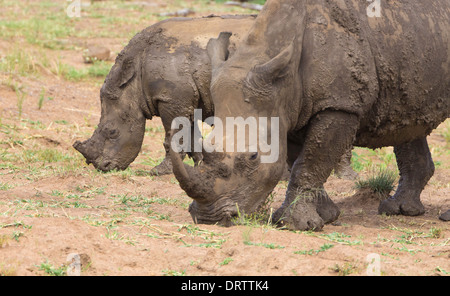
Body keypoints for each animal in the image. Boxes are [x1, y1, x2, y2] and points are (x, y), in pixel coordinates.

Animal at [170, 0, 450, 230]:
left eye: (253, 157)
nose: (209, 218)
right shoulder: (290, 110)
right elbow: (301, 161)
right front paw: (327, 215)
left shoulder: (338, 105)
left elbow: (310, 163)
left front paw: (294, 224)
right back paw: (399, 210)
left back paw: (441, 217)